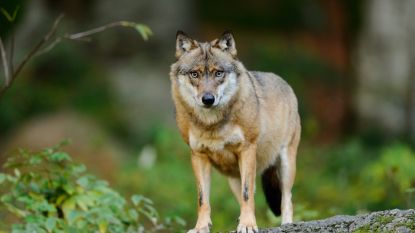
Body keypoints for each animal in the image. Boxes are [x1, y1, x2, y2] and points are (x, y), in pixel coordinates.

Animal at [170, 31, 302, 233]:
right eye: (195, 74)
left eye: (218, 73)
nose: (208, 99)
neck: (212, 125)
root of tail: (285, 83)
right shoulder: (198, 156)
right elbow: (202, 199)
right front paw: (201, 227)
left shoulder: (247, 149)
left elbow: (248, 195)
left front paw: (247, 226)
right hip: (233, 179)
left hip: (286, 164)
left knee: (286, 198)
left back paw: (286, 224)